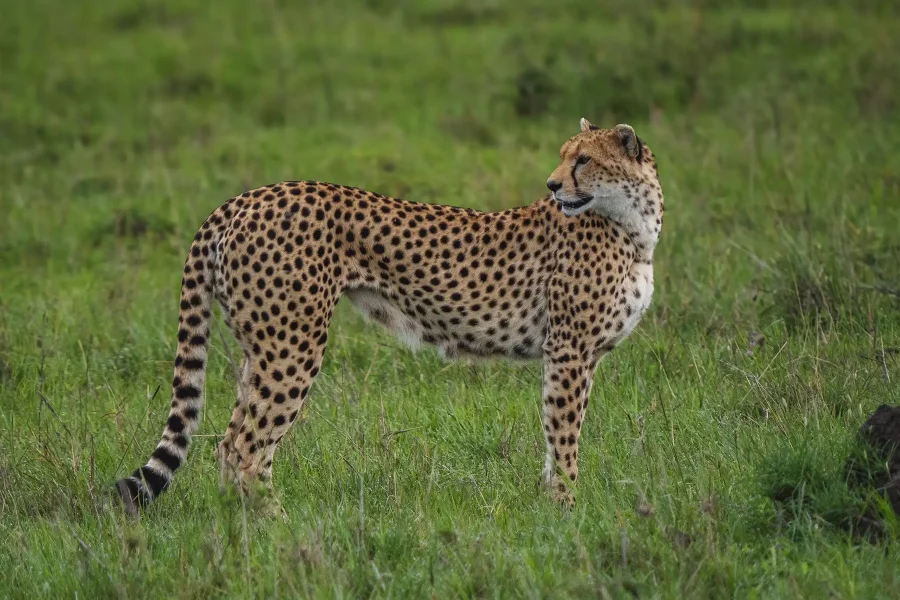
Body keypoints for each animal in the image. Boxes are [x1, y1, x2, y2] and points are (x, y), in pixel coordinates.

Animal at [114, 118, 665, 515]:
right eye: (564, 156)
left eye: (584, 158)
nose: (552, 185)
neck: (635, 227)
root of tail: (244, 198)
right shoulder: (570, 350)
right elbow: (565, 437)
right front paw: (569, 512)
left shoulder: (573, 355)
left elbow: (556, 437)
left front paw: (553, 508)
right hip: (293, 347)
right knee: (247, 449)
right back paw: (282, 530)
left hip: (261, 347)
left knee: (229, 443)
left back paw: (242, 526)